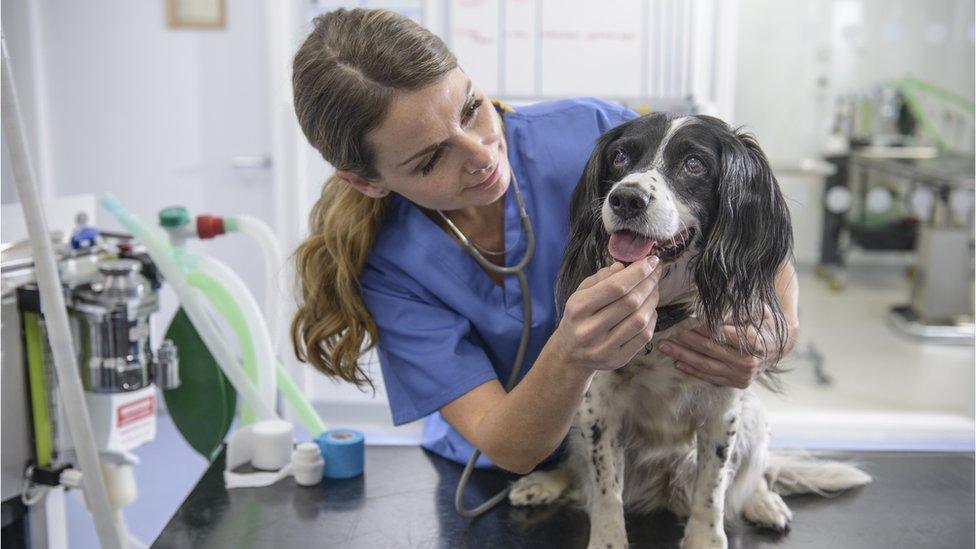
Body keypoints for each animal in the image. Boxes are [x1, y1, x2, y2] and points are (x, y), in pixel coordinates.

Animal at [510, 113, 868, 544]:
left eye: (694, 164)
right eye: (620, 155)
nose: (626, 198)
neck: (665, 316)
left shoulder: (723, 411)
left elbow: (711, 494)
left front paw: (705, 540)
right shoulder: (599, 407)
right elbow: (606, 491)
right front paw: (608, 539)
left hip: (753, 416)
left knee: (755, 475)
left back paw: (764, 503)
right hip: (577, 419)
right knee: (579, 473)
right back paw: (544, 482)